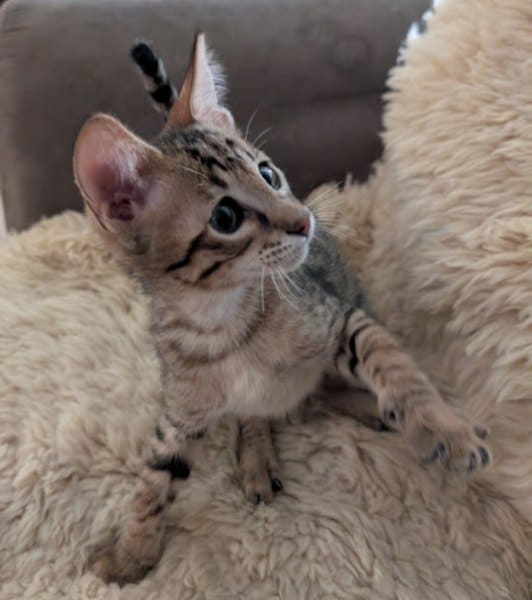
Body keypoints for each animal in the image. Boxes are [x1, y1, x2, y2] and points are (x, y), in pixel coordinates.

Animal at [73, 33, 491, 586]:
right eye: (226, 216)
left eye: (268, 172)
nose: (304, 220)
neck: (223, 321)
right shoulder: (182, 414)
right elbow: (155, 479)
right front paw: (131, 554)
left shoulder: (338, 316)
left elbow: (394, 365)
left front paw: (442, 425)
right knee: (276, 409)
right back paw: (260, 452)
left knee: (323, 390)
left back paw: (374, 409)